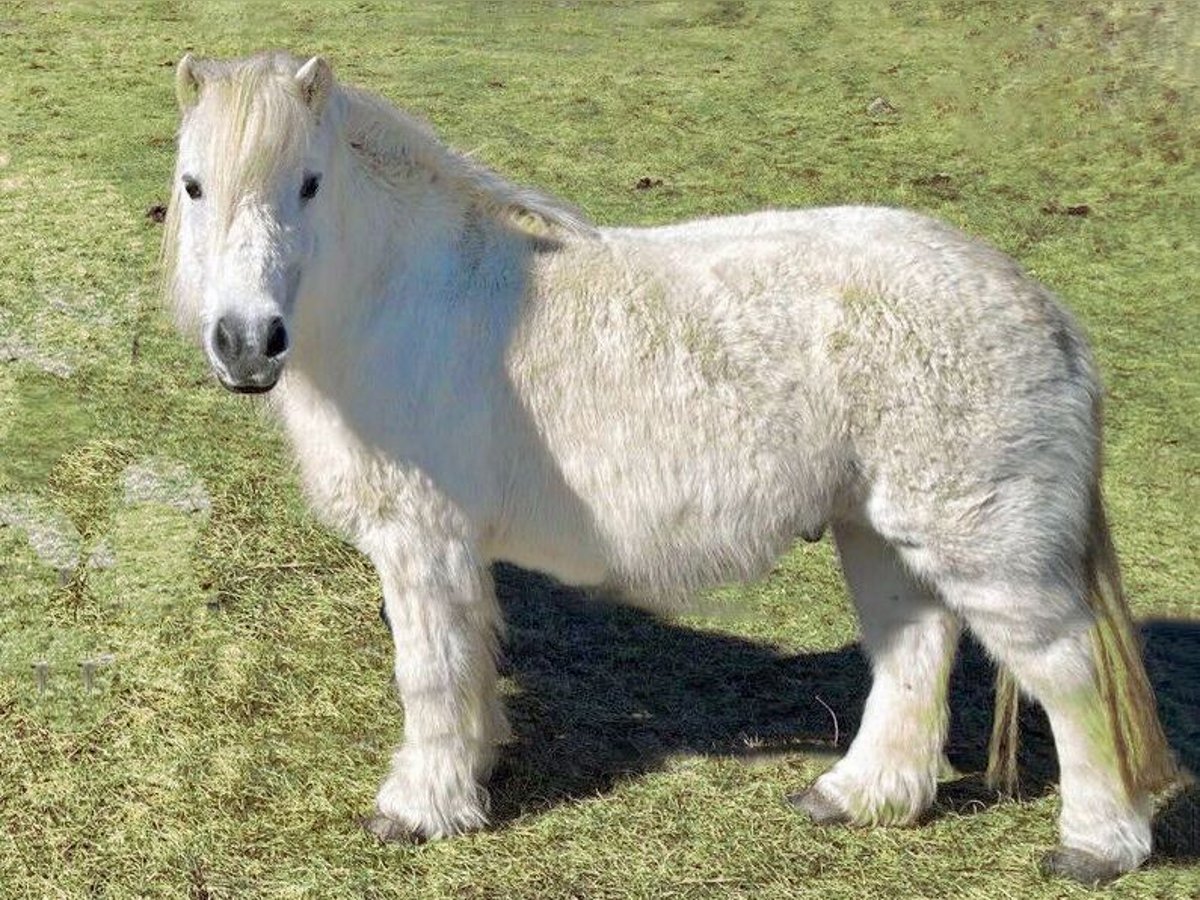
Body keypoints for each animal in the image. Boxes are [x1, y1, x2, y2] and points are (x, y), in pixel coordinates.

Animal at [162, 52, 1178, 885]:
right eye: (195, 185)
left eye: (308, 184)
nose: (247, 344)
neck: (401, 297)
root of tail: (1042, 308)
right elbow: (473, 658)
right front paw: (478, 767)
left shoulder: (422, 538)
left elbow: (433, 672)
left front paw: (420, 808)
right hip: (880, 532)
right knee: (915, 649)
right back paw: (858, 796)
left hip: (983, 546)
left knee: (1068, 672)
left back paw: (1096, 846)